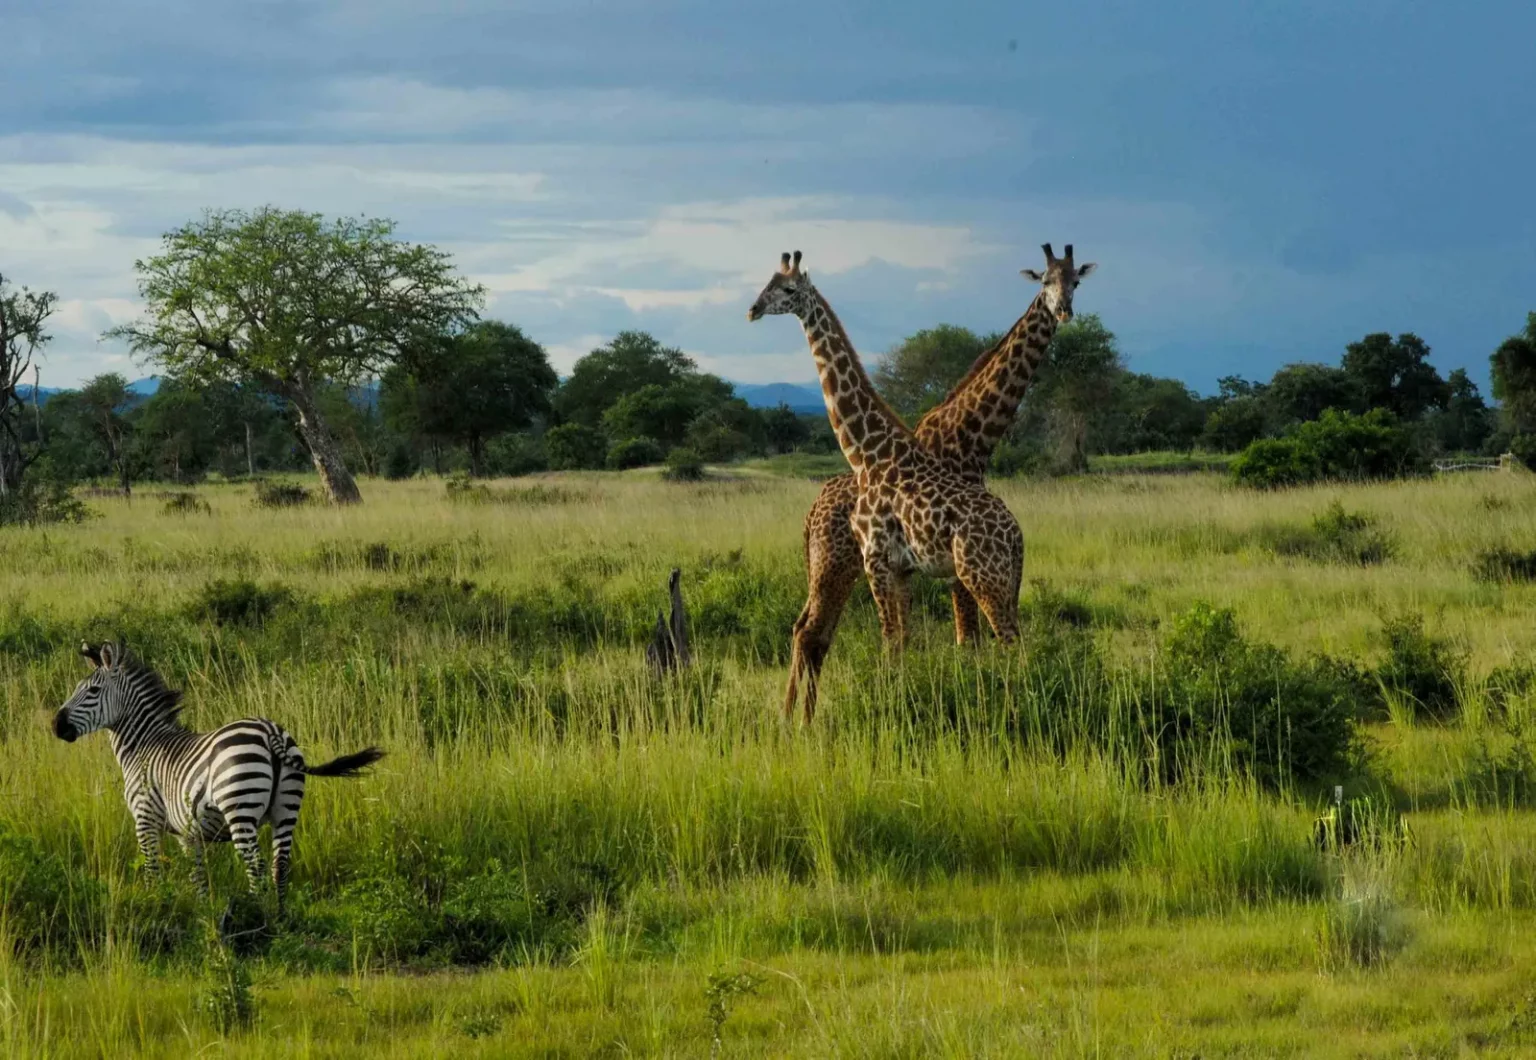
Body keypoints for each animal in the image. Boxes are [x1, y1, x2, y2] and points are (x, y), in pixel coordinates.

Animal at [52, 641, 384, 909]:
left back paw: (254, 918)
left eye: (93, 691)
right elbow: (198, 875)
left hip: (240, 807)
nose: (56, 725)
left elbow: (152, 869)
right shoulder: (188, 833)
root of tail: (270, 731)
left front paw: (155, 904)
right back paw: (280, 919)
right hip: (287, 809)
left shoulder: (145, 817)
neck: (144, 744)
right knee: (280, 865)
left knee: (257, 867)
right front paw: (203, 912)